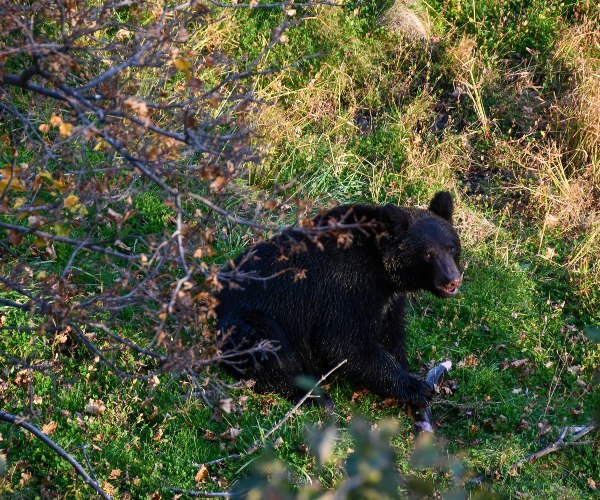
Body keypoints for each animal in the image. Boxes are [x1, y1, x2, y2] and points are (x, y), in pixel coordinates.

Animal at [213, 189, 462, 408]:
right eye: (428, 253)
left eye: (451, 248)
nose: (453, 280)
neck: (381, 271)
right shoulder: (345, 287)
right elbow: (344, 343)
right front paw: (416, 387)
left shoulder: (387, 300)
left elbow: (390, 333)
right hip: (247, 320)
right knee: (271, 348)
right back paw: (311, 396)